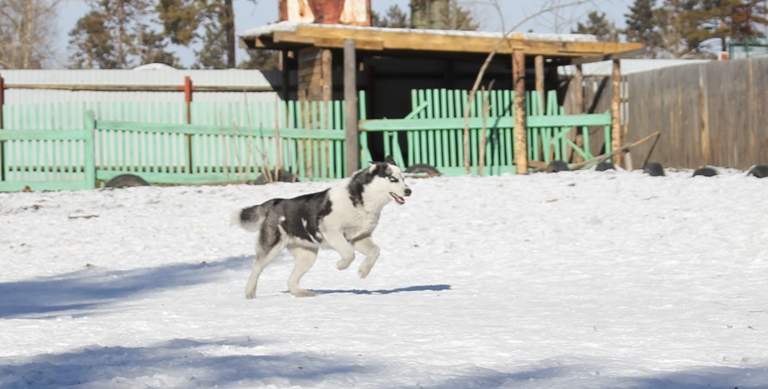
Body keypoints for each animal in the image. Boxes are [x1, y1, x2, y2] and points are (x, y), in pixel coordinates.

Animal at [232, 156, 412, 298]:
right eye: (392, 179)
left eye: (404, 178)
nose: (408, 191)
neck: (362, 200)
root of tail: (275, 202)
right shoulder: (332, 232)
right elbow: (349, 253)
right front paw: (341, 265)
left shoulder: (359, 237)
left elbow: (375, 251)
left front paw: (363, 271)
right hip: (272, 248)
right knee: (257, 267)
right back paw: (249, 293)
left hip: (307, 256)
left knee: (290, 280)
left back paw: (302, 293)